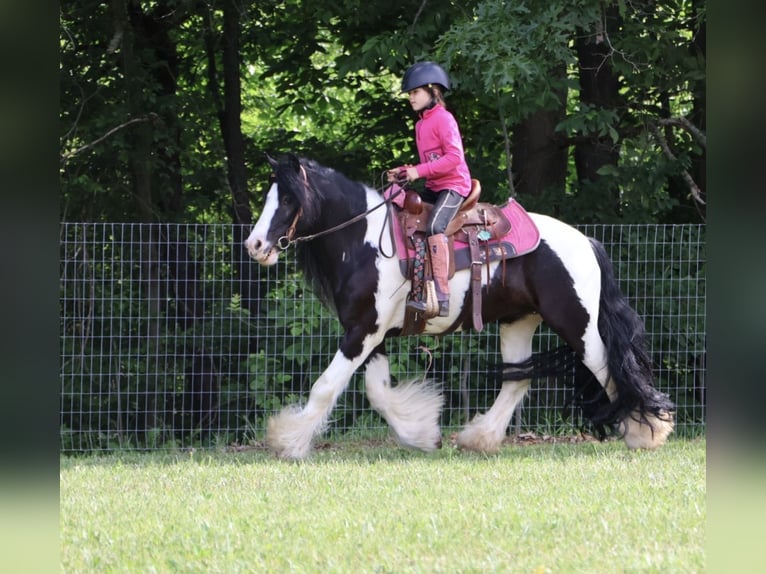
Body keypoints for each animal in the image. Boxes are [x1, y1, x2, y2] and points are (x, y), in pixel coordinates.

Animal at [244, 153, 674, 459]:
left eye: (288, 198)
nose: (255, 245)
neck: (365, 240)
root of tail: (587, 242)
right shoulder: (371, 333)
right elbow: (377, 392)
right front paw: (421, 432)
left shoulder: (362, 331)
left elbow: (325, 387)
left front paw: (286, 441)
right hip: (519, 322)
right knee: (517, 380)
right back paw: (479, 438)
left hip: (576, 323)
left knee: (609, 367)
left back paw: (647, 431)